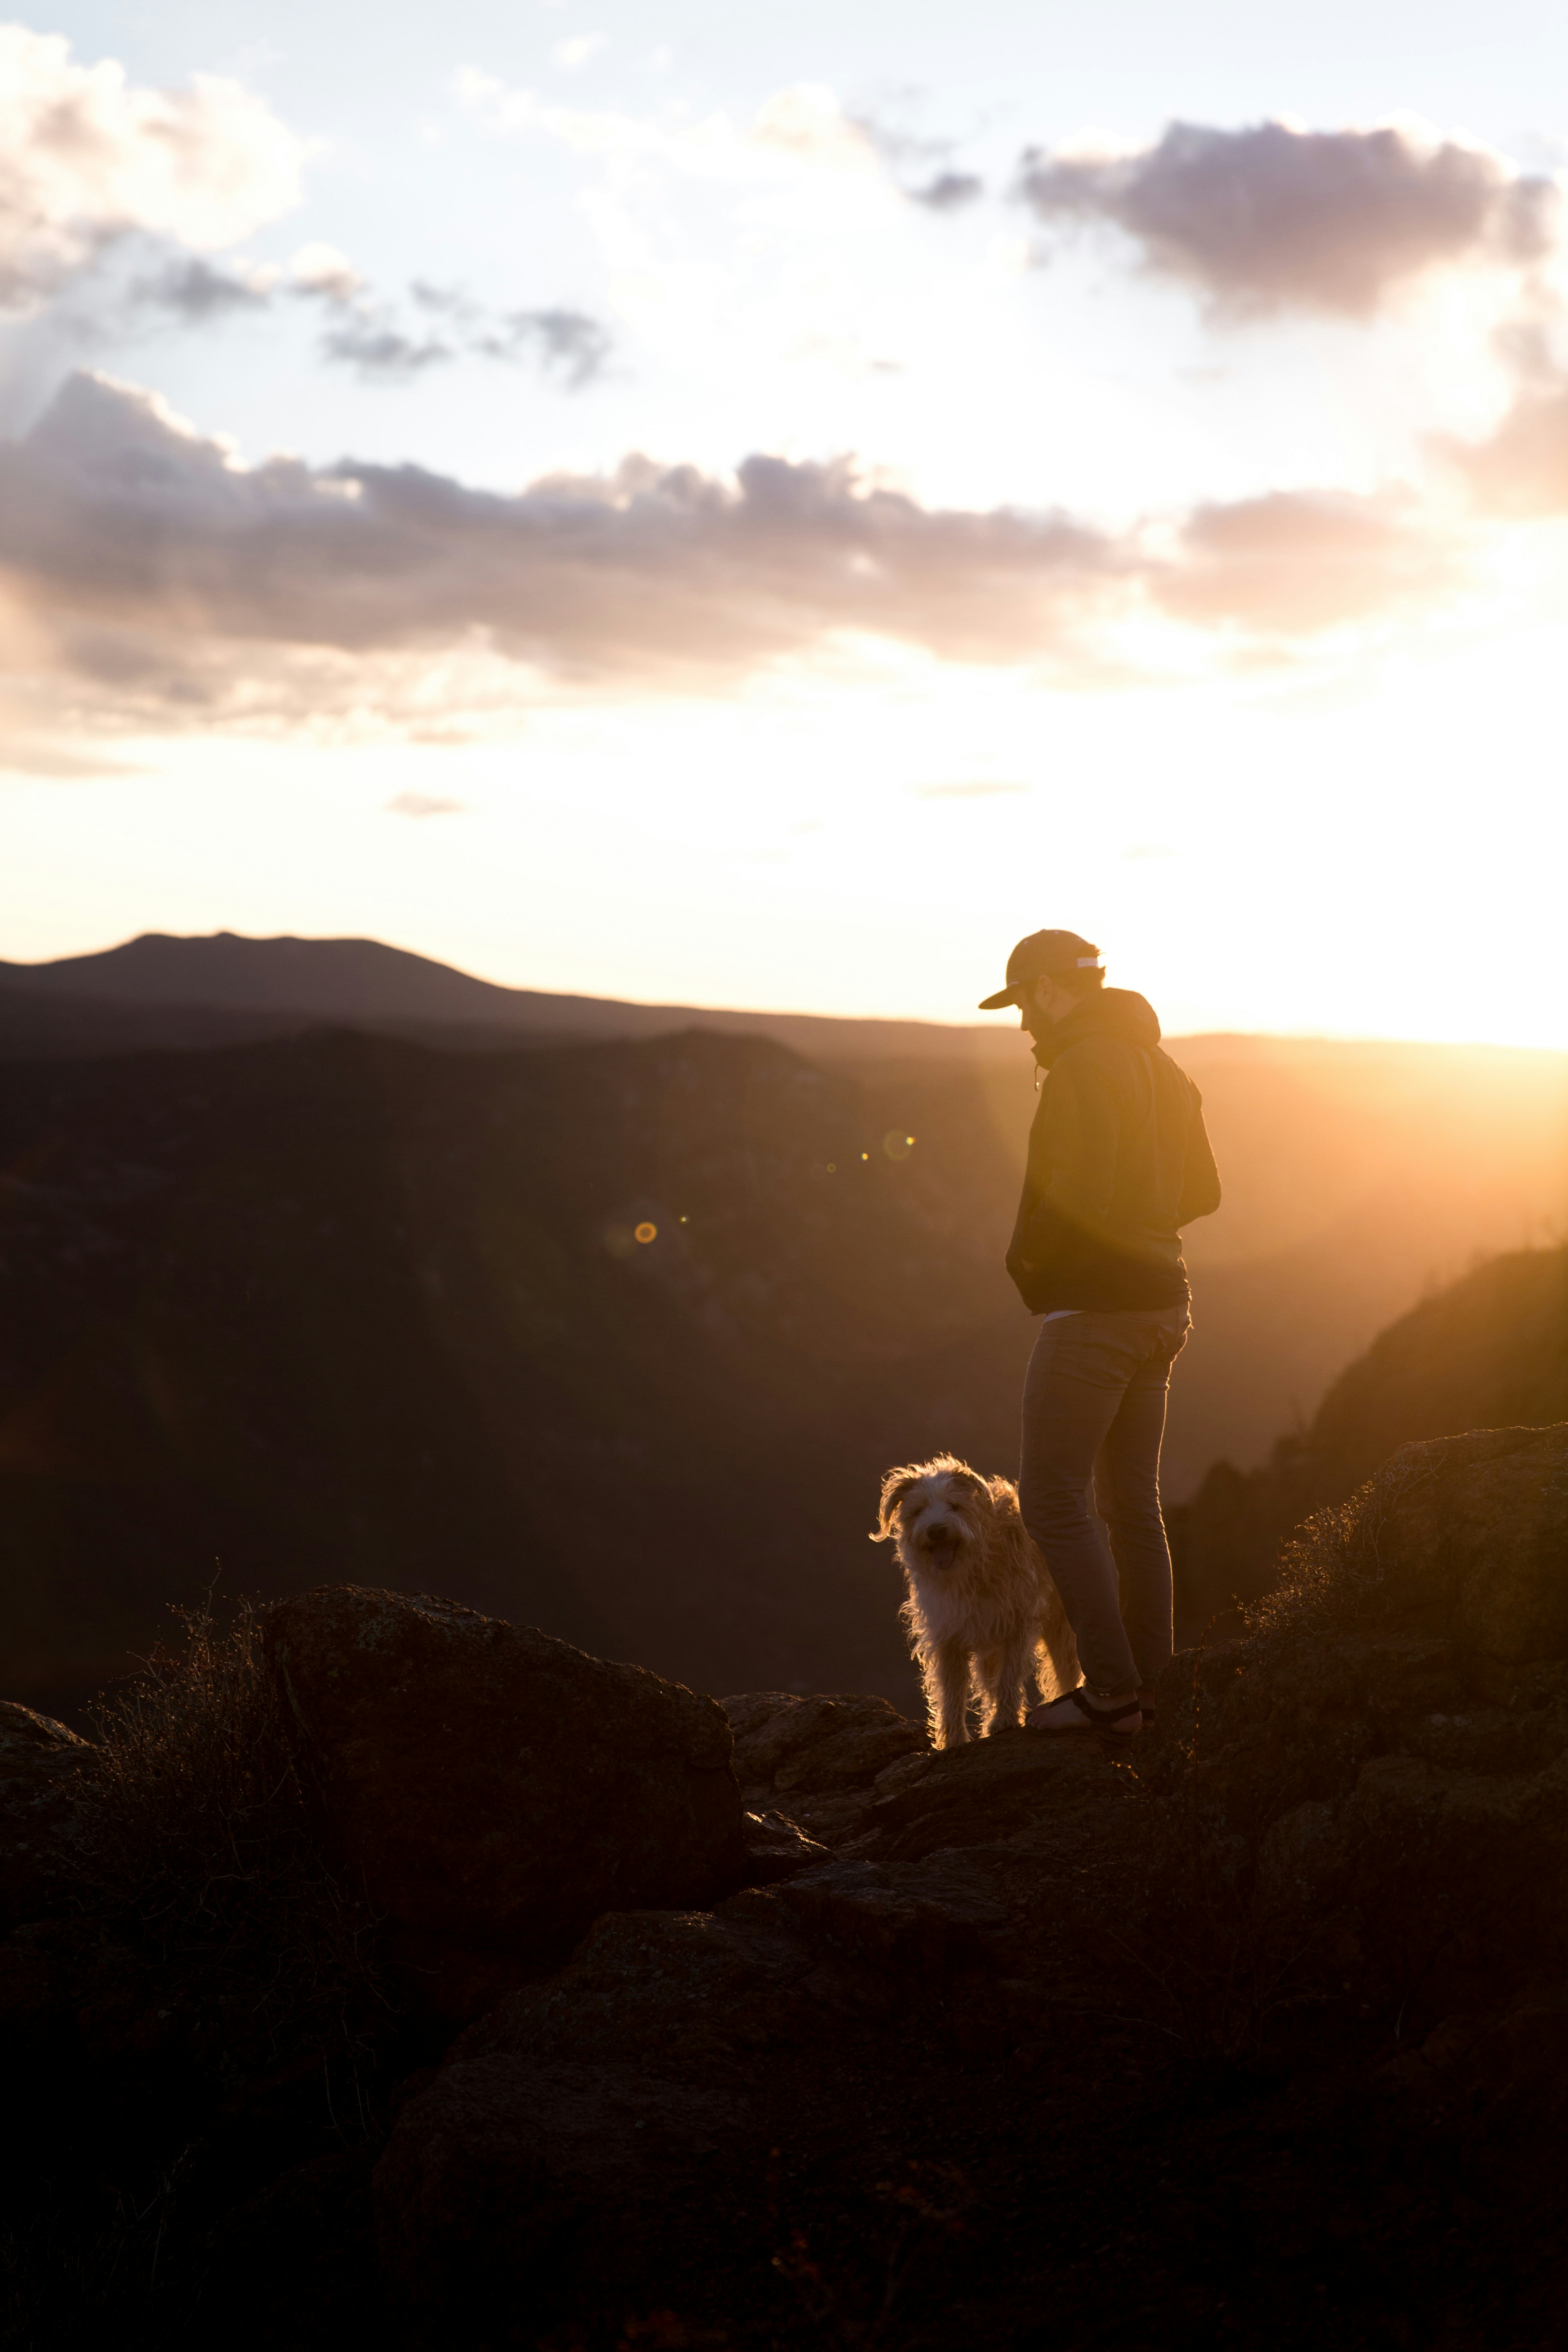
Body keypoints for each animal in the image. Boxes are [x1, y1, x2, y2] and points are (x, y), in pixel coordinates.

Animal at [870, 1449, 1081, 1750]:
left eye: (954, 1506)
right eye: (918, 1510)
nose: (936, 1530)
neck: (971, 1568)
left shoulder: (1018, 1623)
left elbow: (1009, 1676)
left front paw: (1004, 1721)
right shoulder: (949, 1633)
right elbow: (952, 1693)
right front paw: (954, 1740)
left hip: (1061, 1623)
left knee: (1067, 1668)